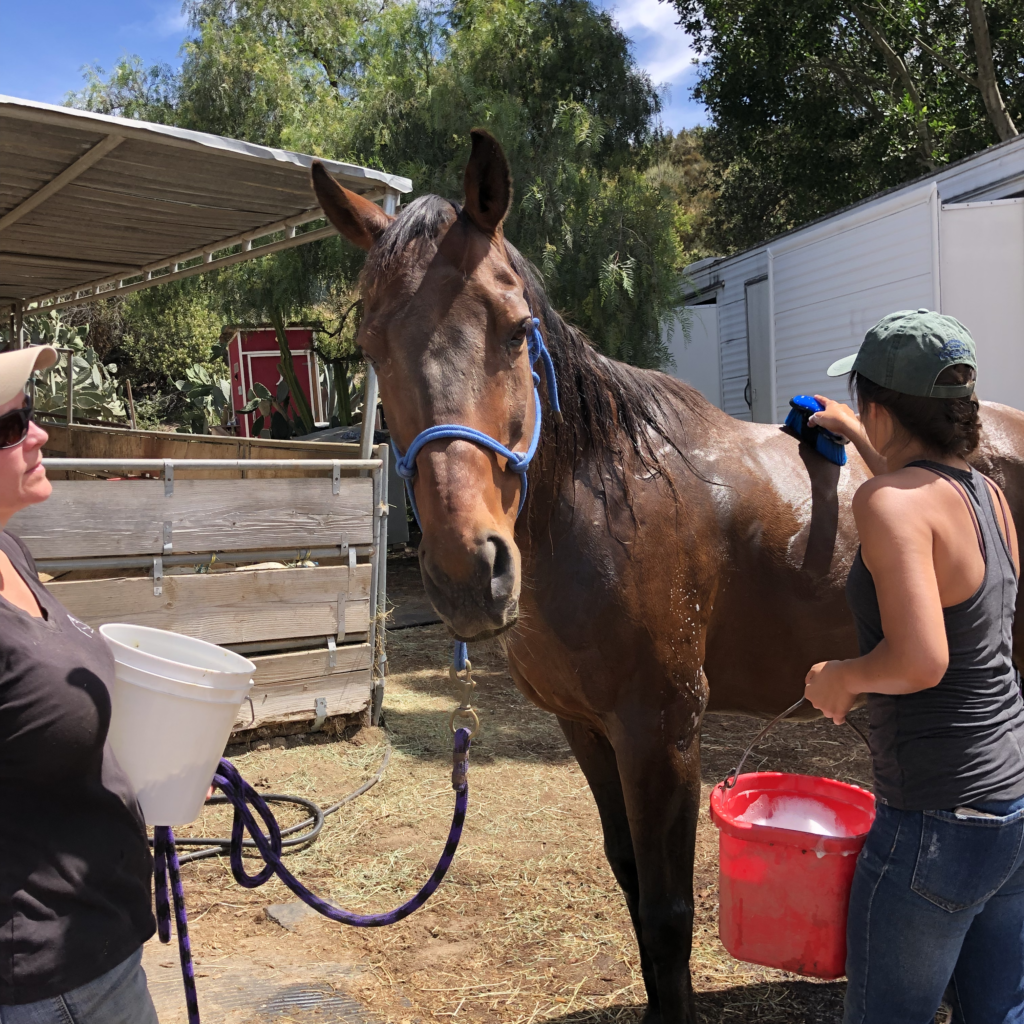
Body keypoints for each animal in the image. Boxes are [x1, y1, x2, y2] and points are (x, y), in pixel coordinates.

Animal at [310, 130, 1024, 1022]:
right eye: (370, 345)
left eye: (515, 329)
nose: (468, 572)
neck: (604, 500)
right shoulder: (586, 729)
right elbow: (628, 877)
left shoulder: (663, 730)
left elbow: (668, 907)